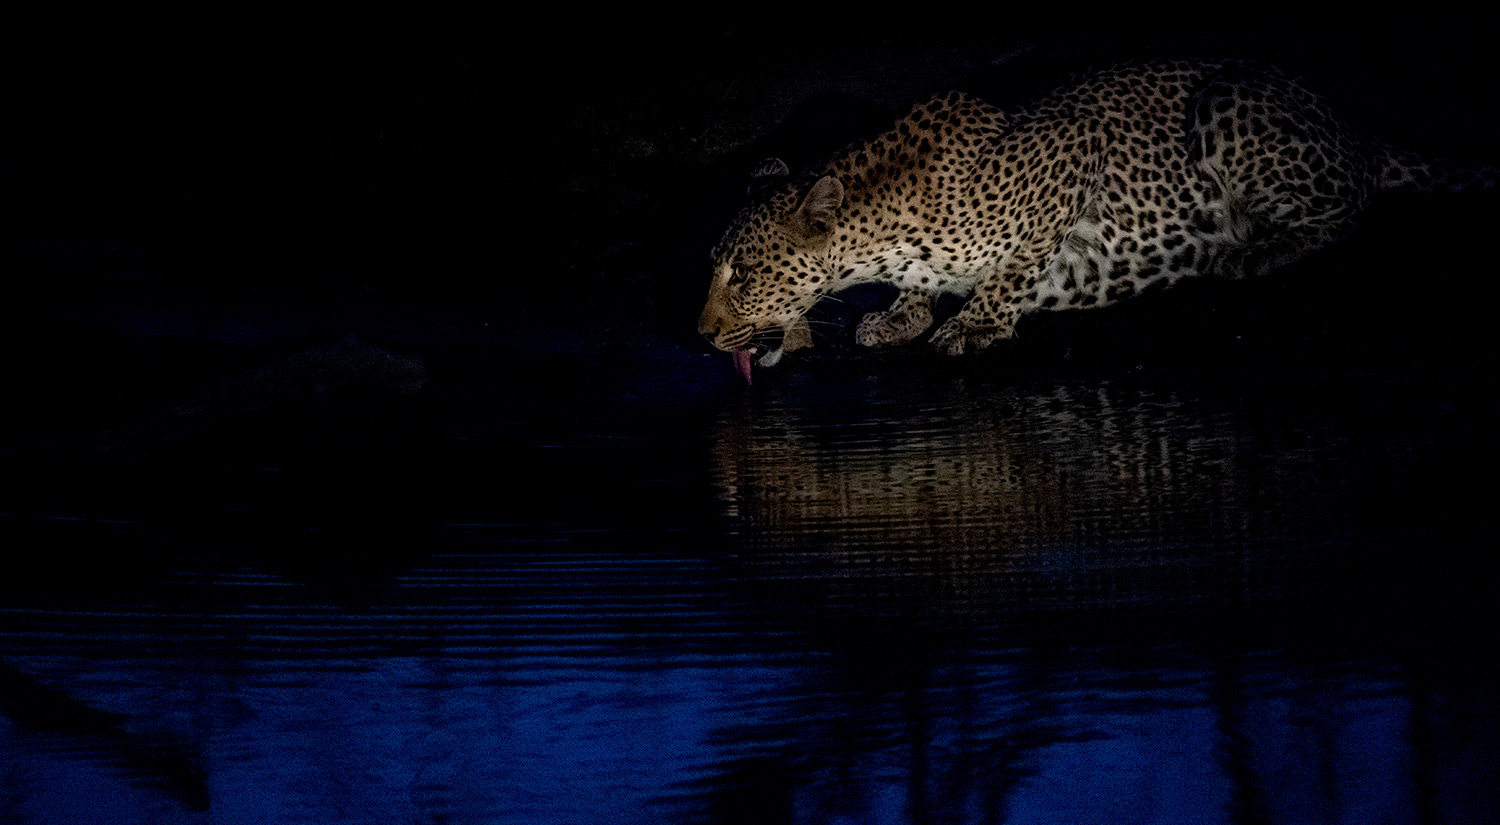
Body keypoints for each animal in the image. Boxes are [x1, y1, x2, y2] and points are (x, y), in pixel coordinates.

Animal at [697, 59, 1495, 379]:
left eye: (748, 276)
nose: (700, 334)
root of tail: (1351, 127)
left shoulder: (1077, 146)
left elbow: (1018, 264)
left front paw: (975, 322)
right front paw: (902, 314)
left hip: (1226, 106)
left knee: (1353, 203)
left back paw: (1254, 250)